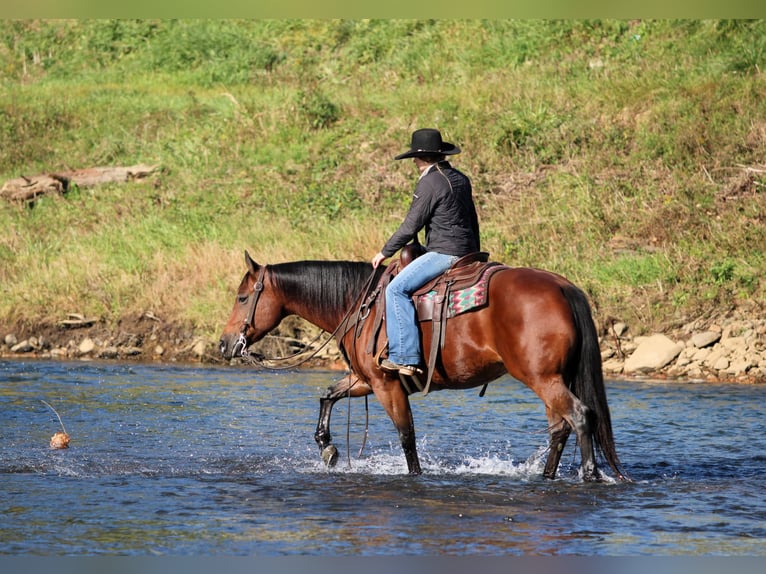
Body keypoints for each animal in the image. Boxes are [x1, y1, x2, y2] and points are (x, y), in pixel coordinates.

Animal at [219, 250, 628, 482]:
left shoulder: (386, 385)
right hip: (551, 379)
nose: (224, 344)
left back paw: (590, 475)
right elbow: (328, 396)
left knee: (579, 417)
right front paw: (327, 448)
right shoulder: (366, 379)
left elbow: (406, 435)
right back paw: (546, 476)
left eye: (242, 297)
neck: (359, 303)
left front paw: (415, 477)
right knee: (560, 428)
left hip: (543, 379)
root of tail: (562, 286)